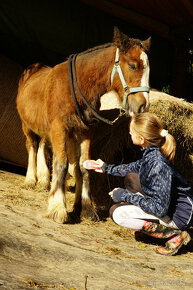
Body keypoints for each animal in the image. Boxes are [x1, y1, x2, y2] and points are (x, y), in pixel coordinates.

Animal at [16, 27, 151, 223]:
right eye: (133, 65)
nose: (143, 105)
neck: (77, 86)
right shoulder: (59, 129)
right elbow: (62, 165)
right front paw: (58, 208)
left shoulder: (85, 132)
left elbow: (83, 167)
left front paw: (85, 208)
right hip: (27, 126)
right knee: (32, 146)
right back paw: (30, 180)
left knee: (42, 145)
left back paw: (42, 180)